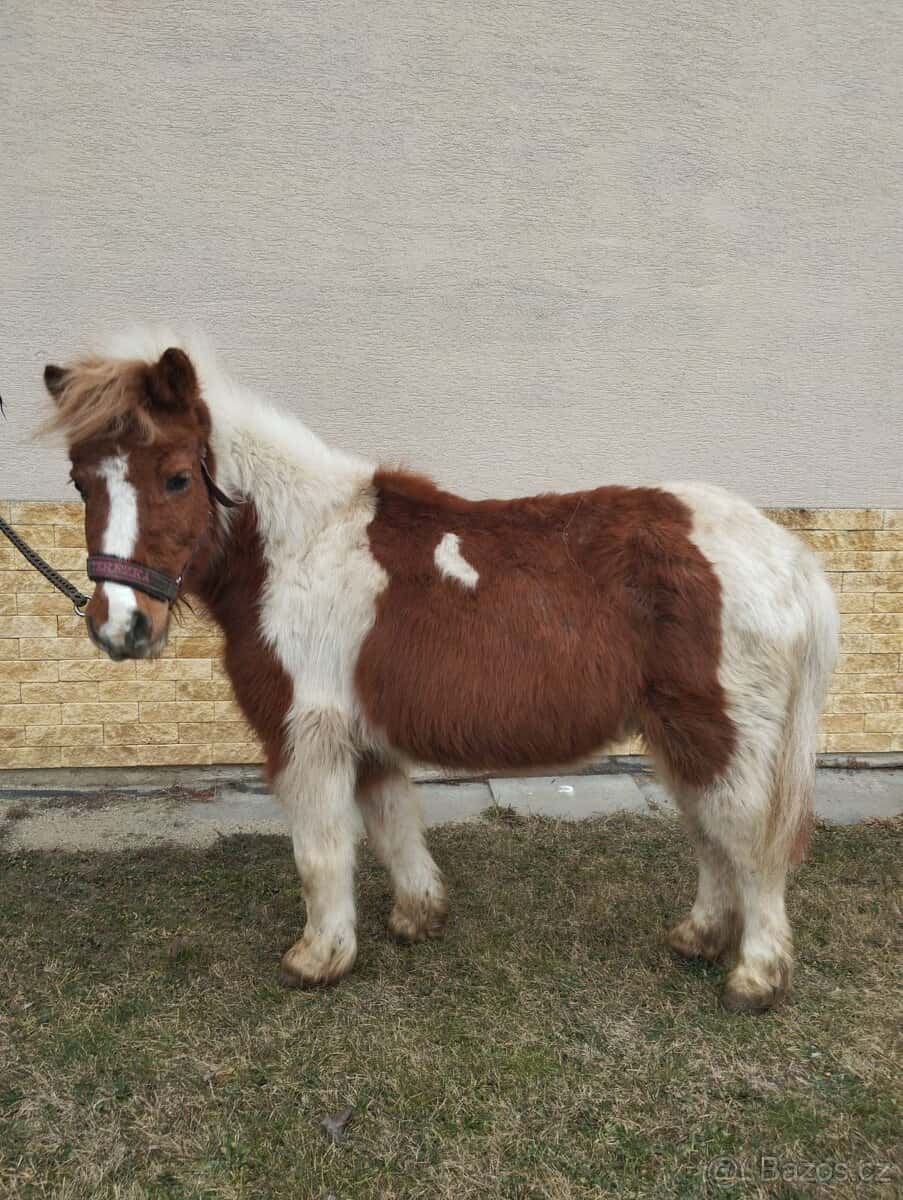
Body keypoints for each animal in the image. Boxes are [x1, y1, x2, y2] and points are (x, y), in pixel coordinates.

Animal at [42, 329, 839, 1011]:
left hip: (720, 735)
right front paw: (417, 917)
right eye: (81, 484)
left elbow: (320, 852)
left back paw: (755, 976)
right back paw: (698, 937)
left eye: (178, 478)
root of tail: (786, 555)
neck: (300, 549)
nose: (121, 626)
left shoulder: (308, 735)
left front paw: (318, 958)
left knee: (748, 842)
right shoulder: (364, 738)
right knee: (710, 835)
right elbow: (393, 823)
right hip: (680, 737)